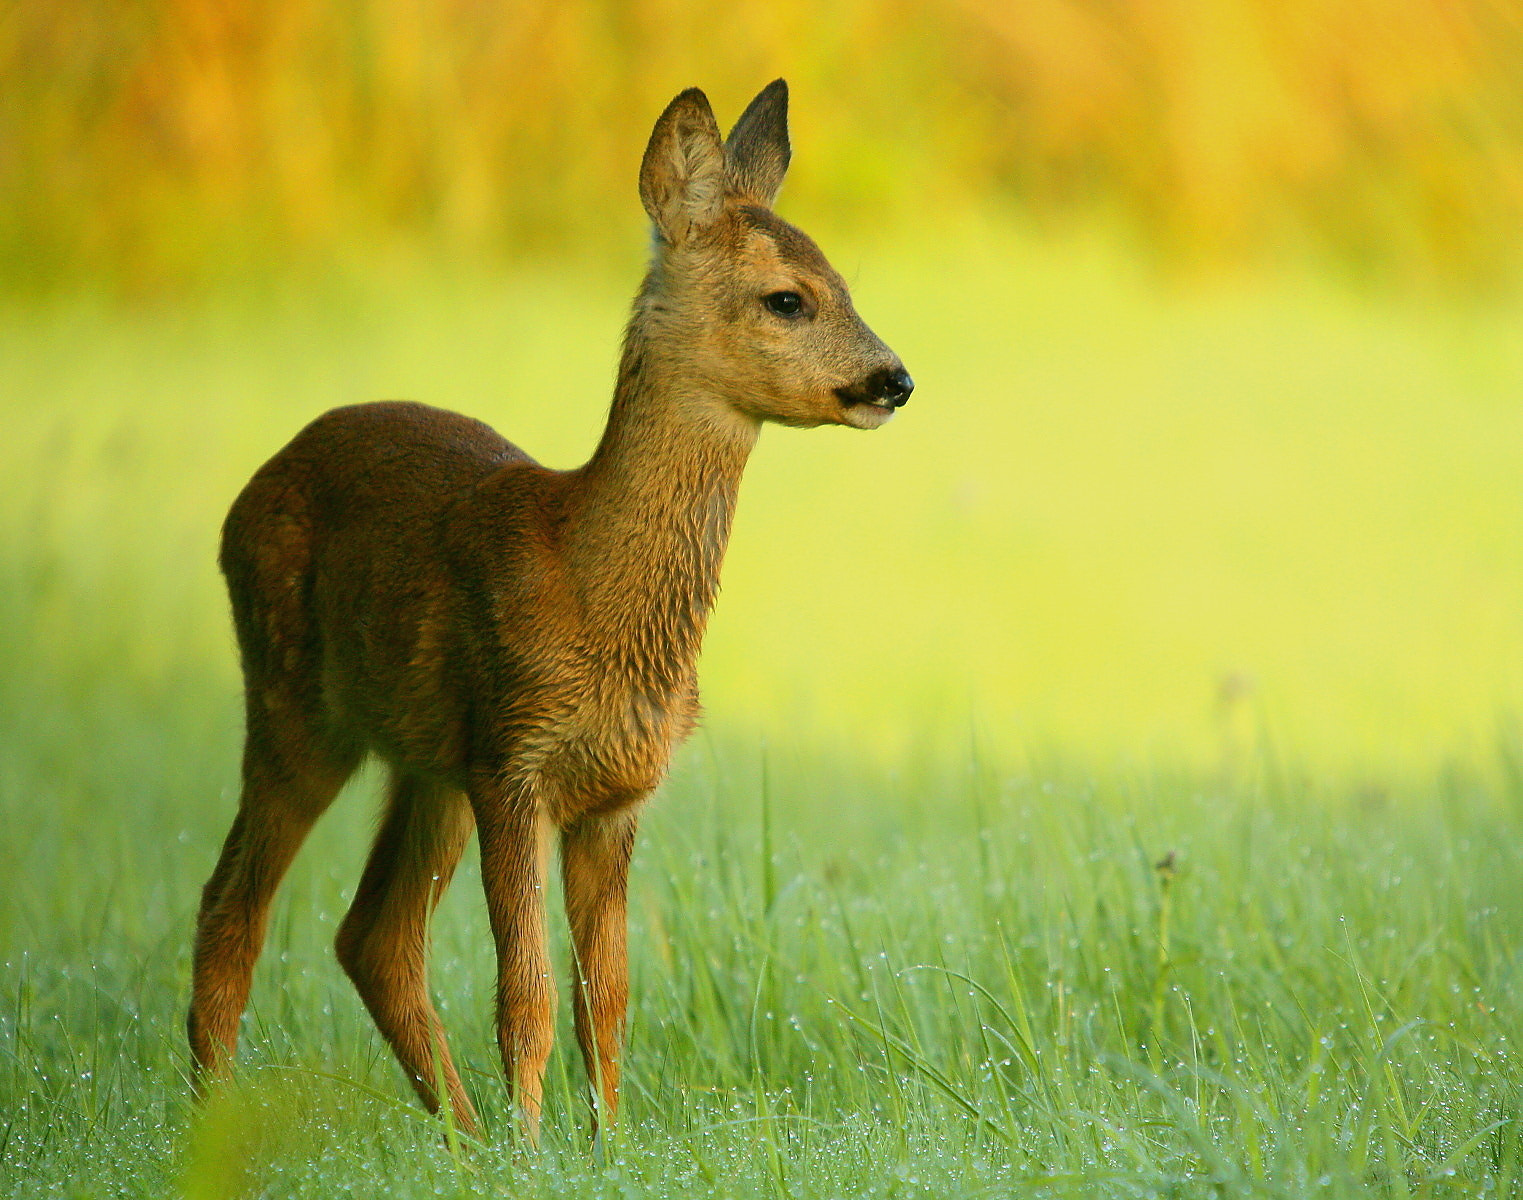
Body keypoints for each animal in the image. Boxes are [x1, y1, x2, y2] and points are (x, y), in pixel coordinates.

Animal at [186, 79, 913, 1145]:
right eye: (788, 297)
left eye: (844, 284)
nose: (894, 379)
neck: (589, 585)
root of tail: (250, 489)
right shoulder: (515, 763)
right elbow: (523, 993)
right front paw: (538, 1152)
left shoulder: (613, 794)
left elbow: (604, 995)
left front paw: (605, 1143)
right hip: (295, 705)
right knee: (231, 908)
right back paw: (216, 1129)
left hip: (426, 762)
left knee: (373, 936)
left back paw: (461, 1143)